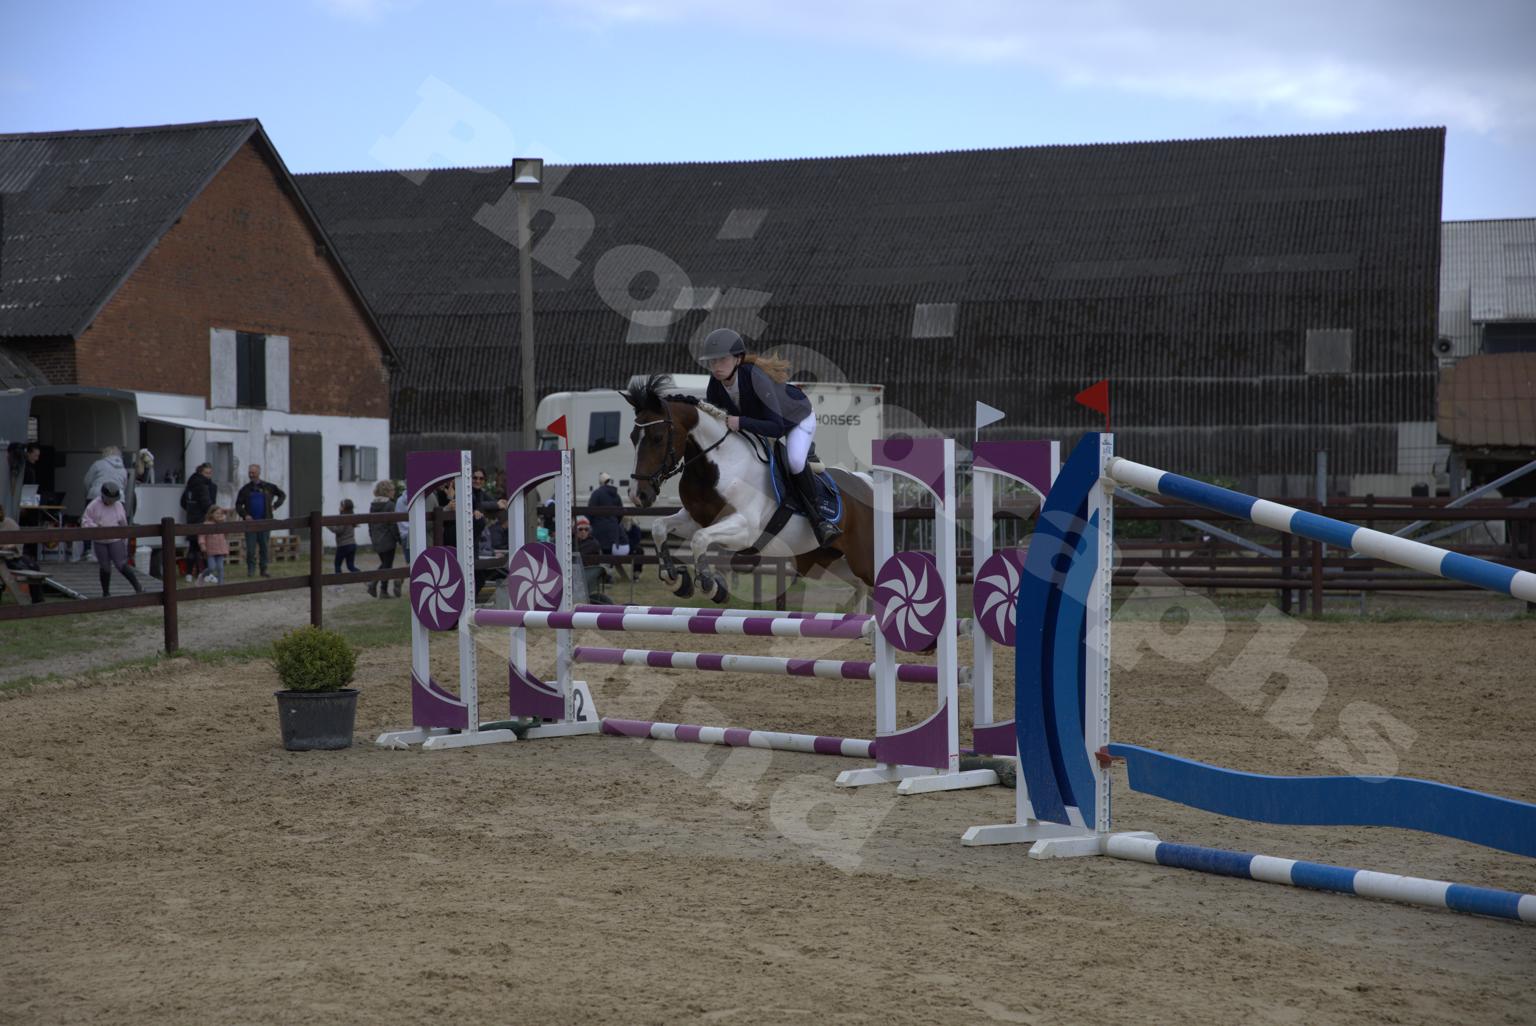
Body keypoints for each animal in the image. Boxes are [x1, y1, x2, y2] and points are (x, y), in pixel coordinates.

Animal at [622, 375, 876, 605]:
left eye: (658, 438)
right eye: (632, 437)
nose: (638, 494)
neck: (718, 465)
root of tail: (866, 483)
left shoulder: (745, 528)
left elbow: (699, 539)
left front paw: (712, 586)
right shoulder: (697, 519)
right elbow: (659, 527)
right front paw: (676, 581)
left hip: (863, 559)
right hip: (821, 559)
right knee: (860, 585)